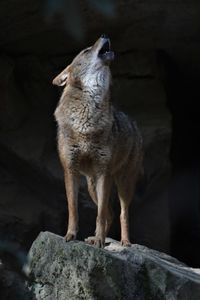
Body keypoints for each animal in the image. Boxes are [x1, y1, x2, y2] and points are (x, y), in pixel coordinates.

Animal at [52, 34, 142, 247]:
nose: (104, 35)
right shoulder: (70, 171)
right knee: (110, 214)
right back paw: (94, 239)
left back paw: (124, 242)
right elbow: (73, 209)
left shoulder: (104, 173)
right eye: (86, 50)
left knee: (121, 213)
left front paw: (101, 240)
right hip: (92, 186)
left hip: (123, 183)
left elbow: (99, 214)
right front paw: (71, 235)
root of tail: (132, 122)